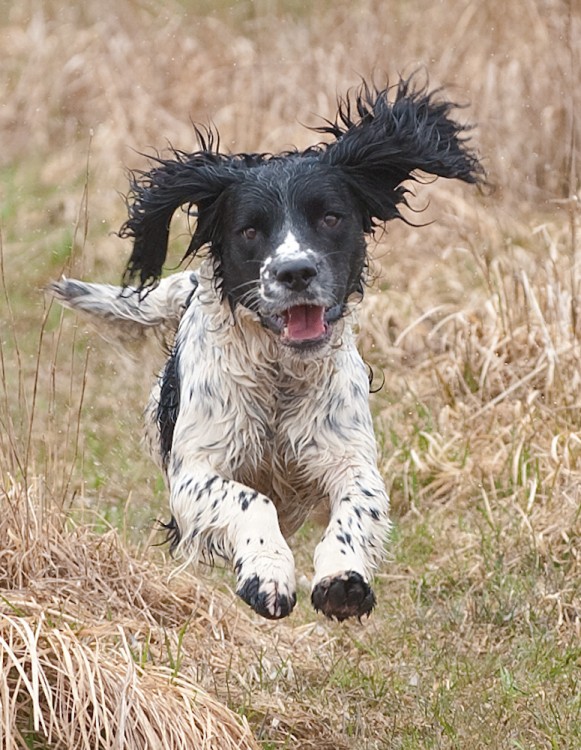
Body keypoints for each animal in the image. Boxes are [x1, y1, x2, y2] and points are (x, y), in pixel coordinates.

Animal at [49, 79, 482, 624]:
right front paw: (268, 574)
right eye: (250, 230)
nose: (295, 272)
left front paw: (342, 577)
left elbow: (357, 504)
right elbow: (251, 500)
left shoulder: (349, 458)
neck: (279, 375)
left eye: (331, 217)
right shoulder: (193, 475)